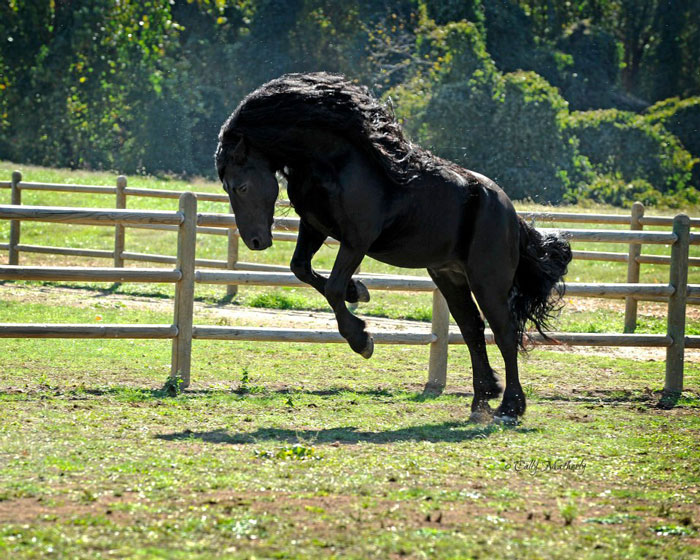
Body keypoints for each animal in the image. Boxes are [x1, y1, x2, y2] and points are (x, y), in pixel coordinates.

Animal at [215, 72, 571, 423]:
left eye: (241, 186)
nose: (255, 242)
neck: (336, 160)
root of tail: (510, 214)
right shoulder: (314, 226)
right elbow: (301, 269)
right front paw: (358, 291)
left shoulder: (356, 240)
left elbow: (332, 288)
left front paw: (362, 339)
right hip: (450, 277)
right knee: (472, 328)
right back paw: (482, 399)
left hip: (487, 282)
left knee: (506, 333)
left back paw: (509, 408)